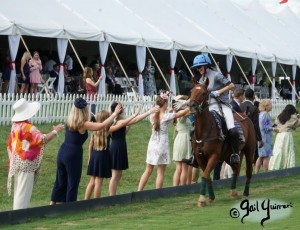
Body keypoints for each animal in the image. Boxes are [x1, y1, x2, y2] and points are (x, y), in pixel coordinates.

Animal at [188, 78, 255, 208]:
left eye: (203, 93)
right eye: (191, 91)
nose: (192, 106)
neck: (204, 131)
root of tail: (245, 115)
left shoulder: (214, 156)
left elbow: (205, 175)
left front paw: (201, 199)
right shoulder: (199, 157)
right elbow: (207, 176)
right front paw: (210, 197)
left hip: (249, 151)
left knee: (248, 172)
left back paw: (245, 194)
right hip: (229, 156)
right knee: (236, 169)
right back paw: (233, 191)